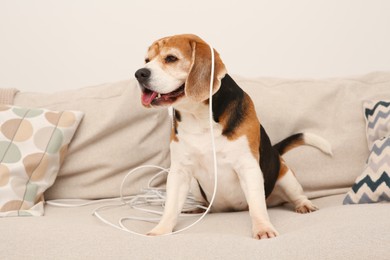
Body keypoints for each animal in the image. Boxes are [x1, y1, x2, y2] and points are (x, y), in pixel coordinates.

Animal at [135, 34, 332, 240]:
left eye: (171, 58)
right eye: (147, 60)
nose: (139, 73)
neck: (199, 117)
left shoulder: (248, 166)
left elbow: (257, 205)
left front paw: (263, 228)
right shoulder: (179, 171)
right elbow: (171, 206)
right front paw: (161, 230)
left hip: (286, 176)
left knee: (295, 194)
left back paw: (304, 204)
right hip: (195, 186)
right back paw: (197, 209)